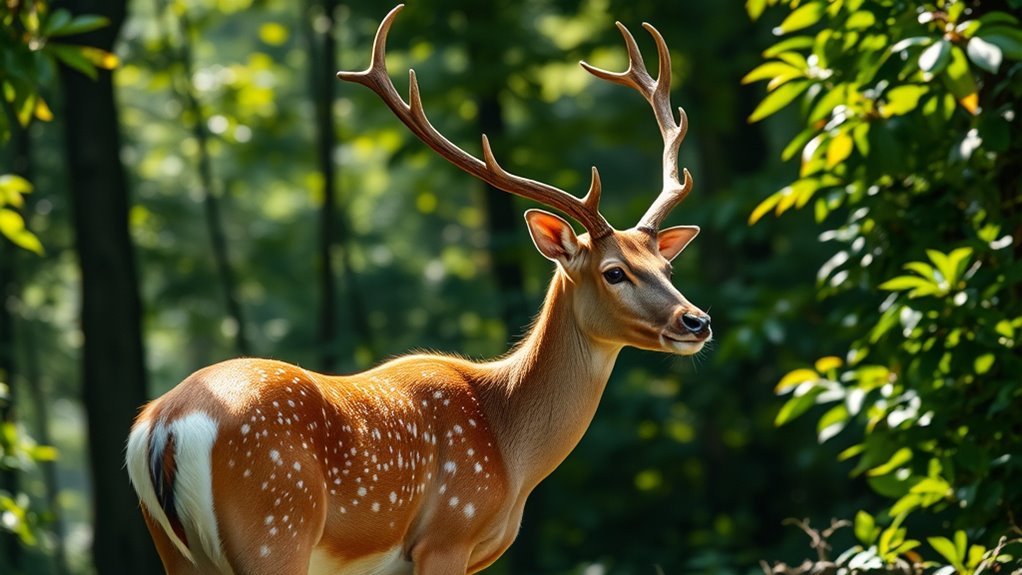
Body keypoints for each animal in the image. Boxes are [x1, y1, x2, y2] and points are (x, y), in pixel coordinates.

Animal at [125, 5, 711, 574]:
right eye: (614, 271)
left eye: (667, 266)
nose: (697, 321)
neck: (511, 449)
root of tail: (164, 427)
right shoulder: (448, 533)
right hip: (274, 522)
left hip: (177, 550)